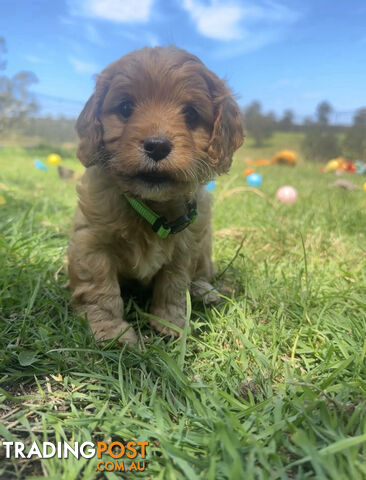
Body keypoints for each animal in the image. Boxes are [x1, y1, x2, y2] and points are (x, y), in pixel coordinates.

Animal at [68, 46, 243, 344]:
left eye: (190, 114)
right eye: (125, 108)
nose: (157, 146)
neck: (149, 206)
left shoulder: (185, 247)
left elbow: (174, 285)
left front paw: (170, 324)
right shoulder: (91, 243)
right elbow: (100, 289)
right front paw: (110, 332)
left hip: (204, 249)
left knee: (200, 276)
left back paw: (205, 292)